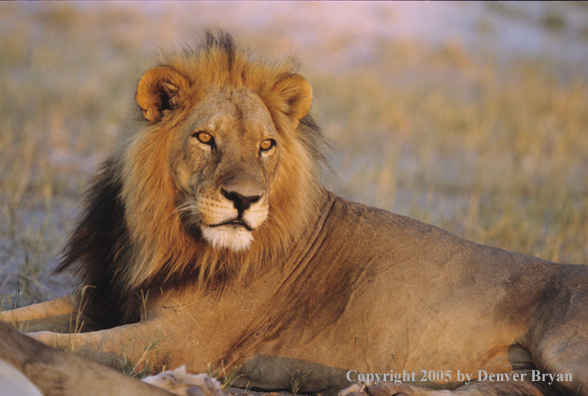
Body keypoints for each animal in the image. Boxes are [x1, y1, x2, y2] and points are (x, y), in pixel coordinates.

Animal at [1, 30, 588, 396]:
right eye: (206, 138)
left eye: (265, 146)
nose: (244, 200)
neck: (160, 233)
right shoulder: (104, 297)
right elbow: (27, 318)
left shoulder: (177, 340)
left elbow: (58, 344)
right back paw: (378, 389)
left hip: (563, 353)